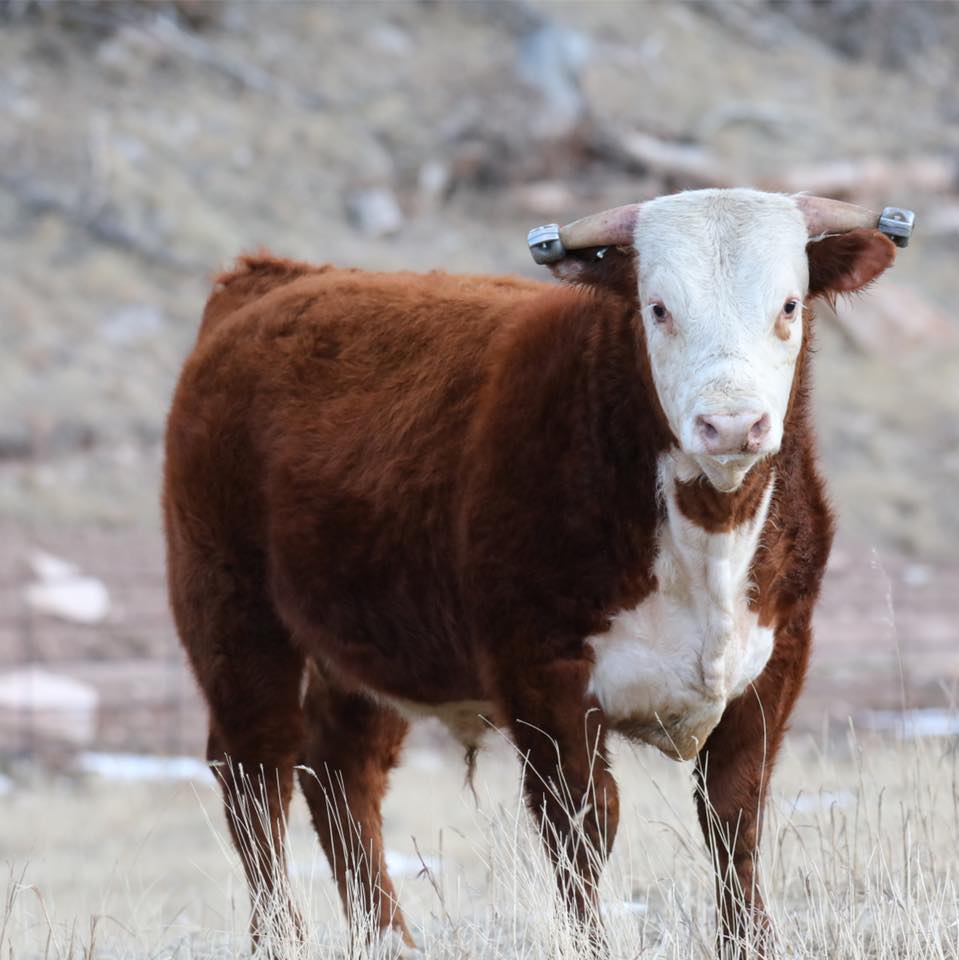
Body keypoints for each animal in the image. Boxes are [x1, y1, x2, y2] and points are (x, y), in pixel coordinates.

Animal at [163, 188, 912, 958]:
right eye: (658, 307)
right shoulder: (541, 671)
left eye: (789, 304)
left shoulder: (777, 660)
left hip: (367, 644)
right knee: (257, 773)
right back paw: (278, 936)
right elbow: (583, 823)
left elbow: (735, 814)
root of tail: (270, 279)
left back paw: (390, 938)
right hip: (233, 613)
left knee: (342, 774)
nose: (731, 425)